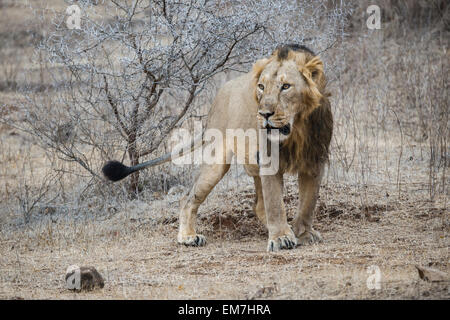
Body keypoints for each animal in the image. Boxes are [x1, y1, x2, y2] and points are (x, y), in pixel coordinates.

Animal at [103, 43, 332, 252]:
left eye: (286, 86)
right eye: (261, 87)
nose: (264, 114)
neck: (297, 128)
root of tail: (217, 100)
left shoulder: (316, 159)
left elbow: (308, 202)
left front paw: (302, 233)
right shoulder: (268, 158)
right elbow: (275, 203)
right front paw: (281, 238)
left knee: (259, 205)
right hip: (216, 162)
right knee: (187, 198)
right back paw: (188, 237)